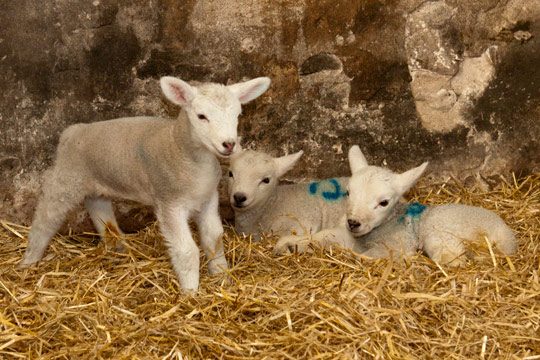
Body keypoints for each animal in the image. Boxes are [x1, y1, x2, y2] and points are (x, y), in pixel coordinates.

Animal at [22, 74, 270, 292]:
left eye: (237, 115)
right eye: (201, 116)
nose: (229, 144)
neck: (181, 150)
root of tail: (72, 131)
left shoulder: (208, 200)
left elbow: (214, 240)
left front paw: (222, 277)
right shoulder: (169, 203)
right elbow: (187, 251)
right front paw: (191, 292)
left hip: (96, 183)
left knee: (100, 211)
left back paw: (117, 248)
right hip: (68, 179)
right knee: (45, 219)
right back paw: (29, 261)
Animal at [276, 145, 516, 266]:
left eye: (383, 202)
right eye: (348, 192)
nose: (353, 222)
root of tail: (506, 236)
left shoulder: (395, 242)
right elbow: (325, 236)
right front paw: (290, 244)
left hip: (439, 232)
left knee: (453, 260)